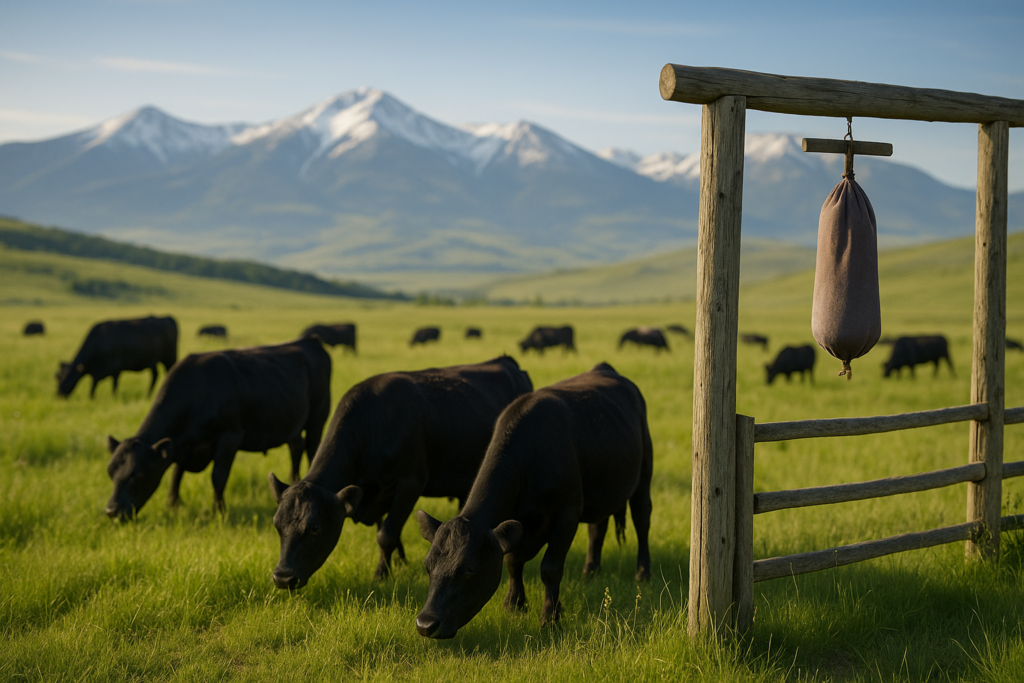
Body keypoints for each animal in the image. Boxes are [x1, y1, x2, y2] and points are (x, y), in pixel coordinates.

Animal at [104, 337, 331, 521]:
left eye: (137, 475)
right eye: (110, 472)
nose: (111, 511)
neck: (198, 391)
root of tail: (310, 340)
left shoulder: (230, 437)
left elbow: (218, 476)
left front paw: (219, 510)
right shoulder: (182, 446)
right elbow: (176, 472)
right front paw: (173, 504)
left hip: (317, 418)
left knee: (312, 449)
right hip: (292, 424)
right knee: (296, 447)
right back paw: (294, 481)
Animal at [268, 356, 533, 588]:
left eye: (314, 528)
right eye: (277, 525)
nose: (282, 578)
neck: (373, 424)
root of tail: (505, 361)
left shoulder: (410, 483)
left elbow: (386, 534)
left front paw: (381, 575)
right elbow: (389, 531)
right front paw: (401, 562)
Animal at [414, 362, 652, 639]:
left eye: (469, 569)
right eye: (427, 565)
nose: (426, 624)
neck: (530, 460)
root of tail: (605, 369)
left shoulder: (567, 514)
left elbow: (550, 568)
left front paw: (550, 617)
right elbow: (512, 561)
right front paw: (514, 604)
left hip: (643, 475)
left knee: (642, 519)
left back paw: (643, 573)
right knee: (597, 528)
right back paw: (590, 572)